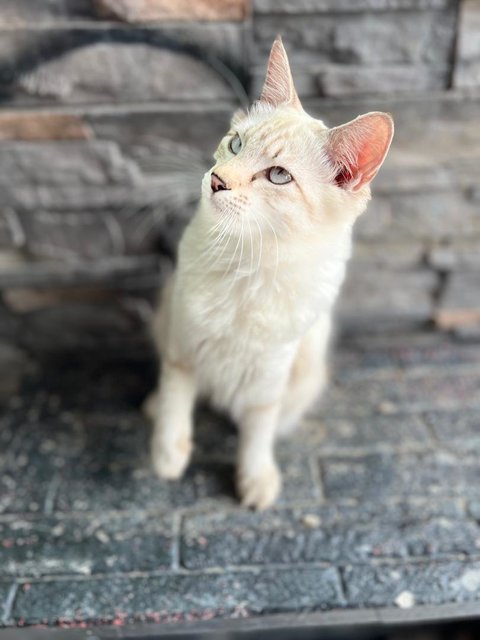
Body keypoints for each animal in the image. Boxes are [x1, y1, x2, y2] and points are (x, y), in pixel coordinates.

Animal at [147, 38, 394, 510]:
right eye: (236, 145)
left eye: (278, 176)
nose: (217, 180)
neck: (249, 264)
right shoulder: (184, 344)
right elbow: (176, 399)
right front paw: (168, 455)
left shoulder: (270, 372)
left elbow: (257, 430)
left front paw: (255, 478)